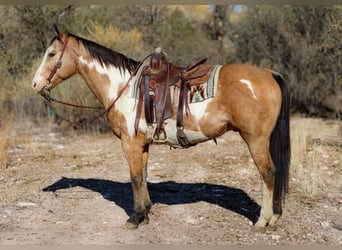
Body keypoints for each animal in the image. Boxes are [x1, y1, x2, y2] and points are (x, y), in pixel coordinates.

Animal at [31, 26, 292, 231]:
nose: (35, 84)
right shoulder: (142, 144)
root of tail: (270, 73)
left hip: (256, 139)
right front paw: (145, 213)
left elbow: (135, 177)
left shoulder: (129, 143)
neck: (123, 88)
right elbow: (144, 175)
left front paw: (135, 218)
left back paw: (263, 221)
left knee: (269, 173)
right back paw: (274, 218)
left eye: (52, 53)